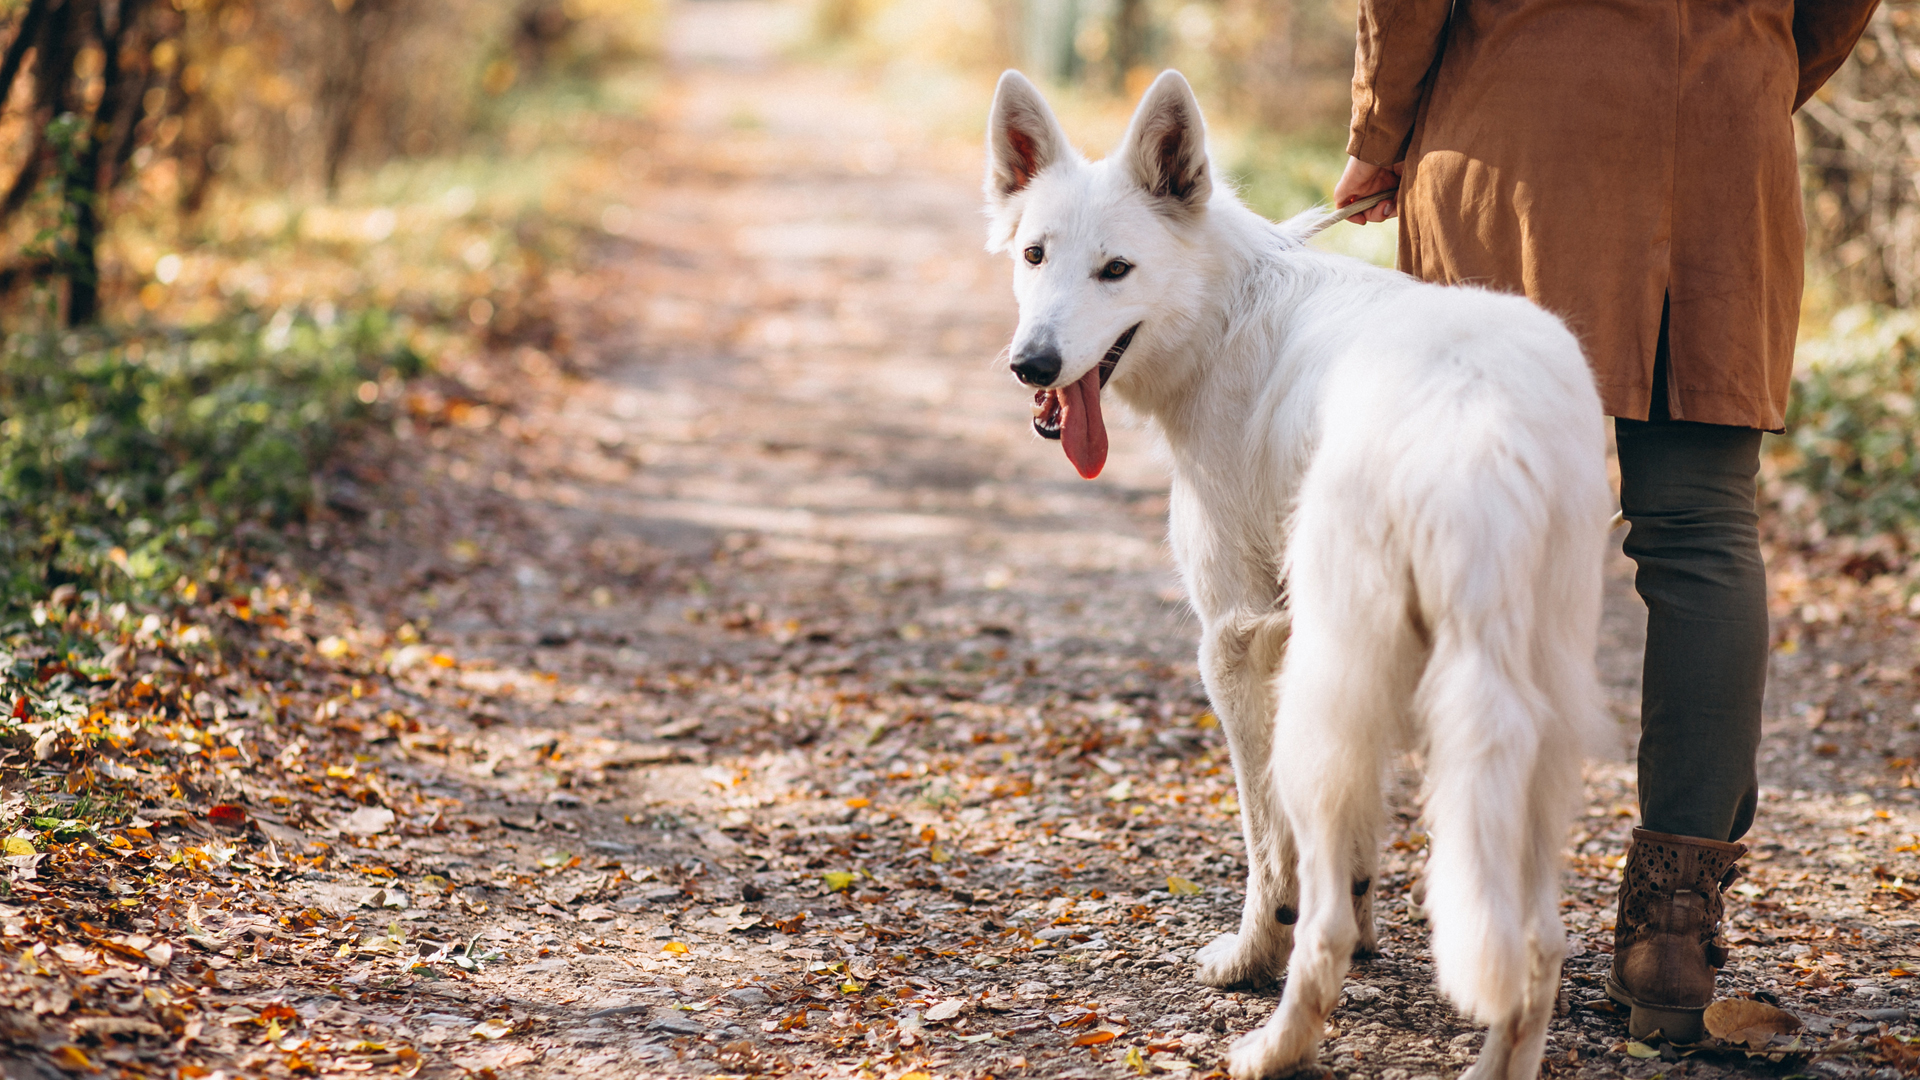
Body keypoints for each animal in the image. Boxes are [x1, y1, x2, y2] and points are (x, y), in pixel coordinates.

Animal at [983, 69, 1612, 1076]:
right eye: (1035, 255)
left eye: (1115, 270)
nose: (1031, 365)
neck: (1226, 308)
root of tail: (1477, 418)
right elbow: (1361, 844)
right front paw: (1369, 918)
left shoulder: (1239, 643)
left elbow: (1264, 847)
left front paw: (1249, 957)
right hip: (1534, 719)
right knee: (1536, 942)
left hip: (1325, 700)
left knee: (1317, 915)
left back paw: (1272, 1044)